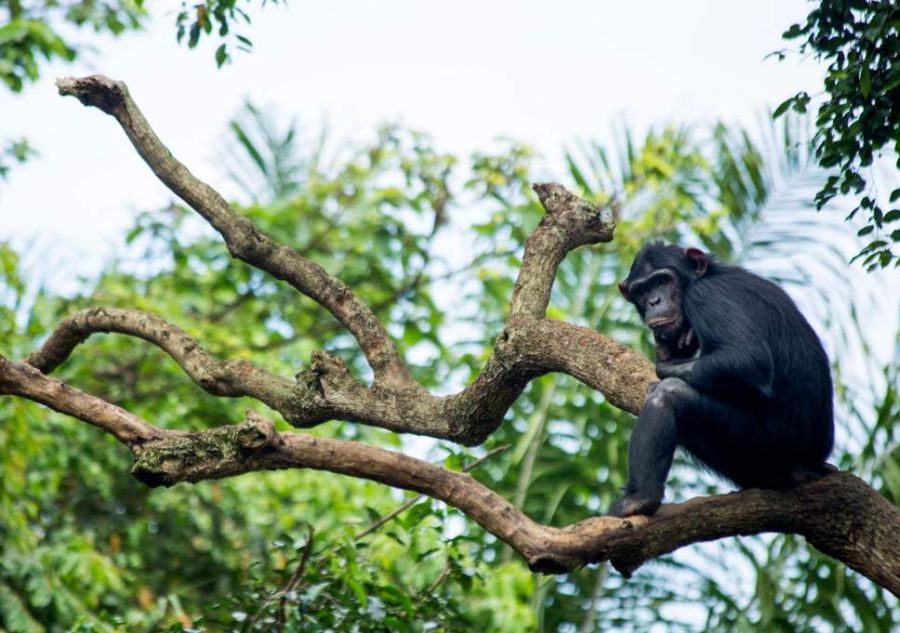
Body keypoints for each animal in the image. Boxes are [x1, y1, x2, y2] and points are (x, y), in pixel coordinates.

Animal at [608, 239, 832, 516]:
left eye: (662, 281)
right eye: (642, 290)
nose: (654, 300)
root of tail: (810, 464)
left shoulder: (706, 297)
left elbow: (746, 360)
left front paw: (666, 364)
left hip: (761, 444)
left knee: (670, 396)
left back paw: (639, 499)